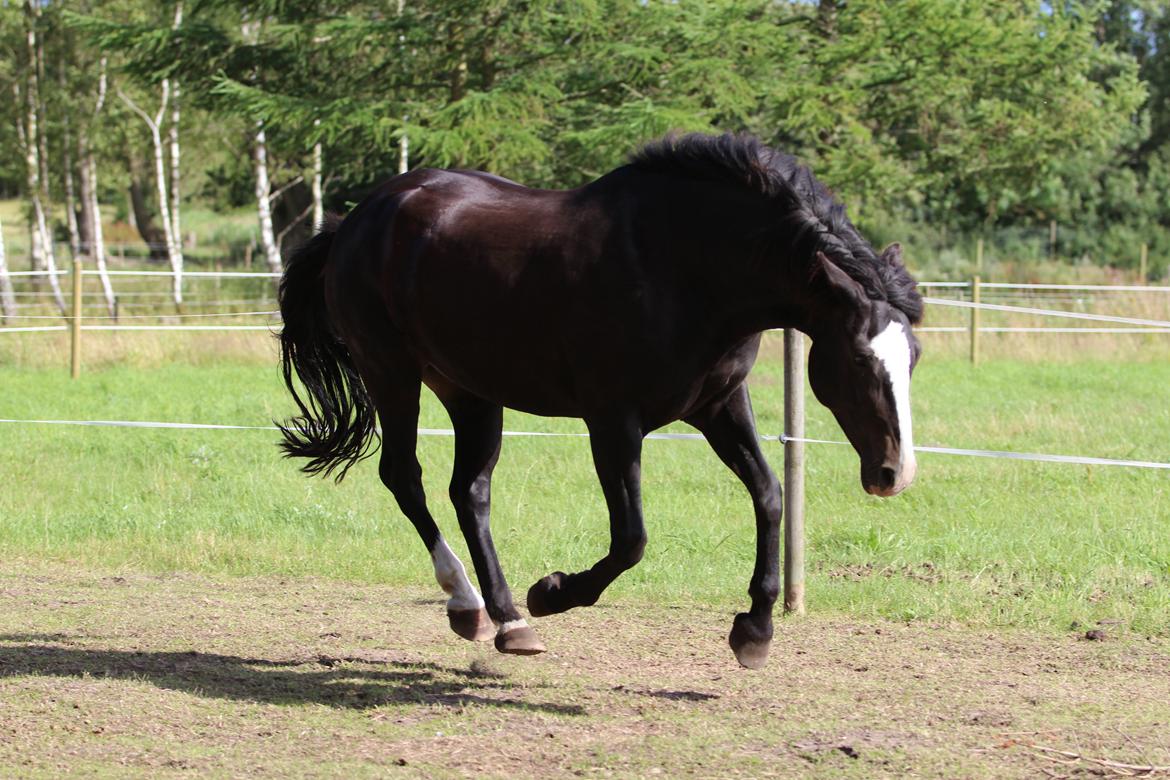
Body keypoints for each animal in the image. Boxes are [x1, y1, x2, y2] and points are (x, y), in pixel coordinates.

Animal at [276, 130, 921, 668]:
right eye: (860, 359)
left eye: (912, 357)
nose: (895, 474)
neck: (684, 263)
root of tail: (356, 219)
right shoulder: (613, 421)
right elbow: (631, 538)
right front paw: (553, 591)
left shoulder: (719, 406)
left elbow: (769, 496)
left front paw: (755, 630)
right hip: (391, 372)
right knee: (405, 476)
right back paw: (470, 603)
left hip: (470, 391)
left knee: (470, 491)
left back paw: (508, 621)